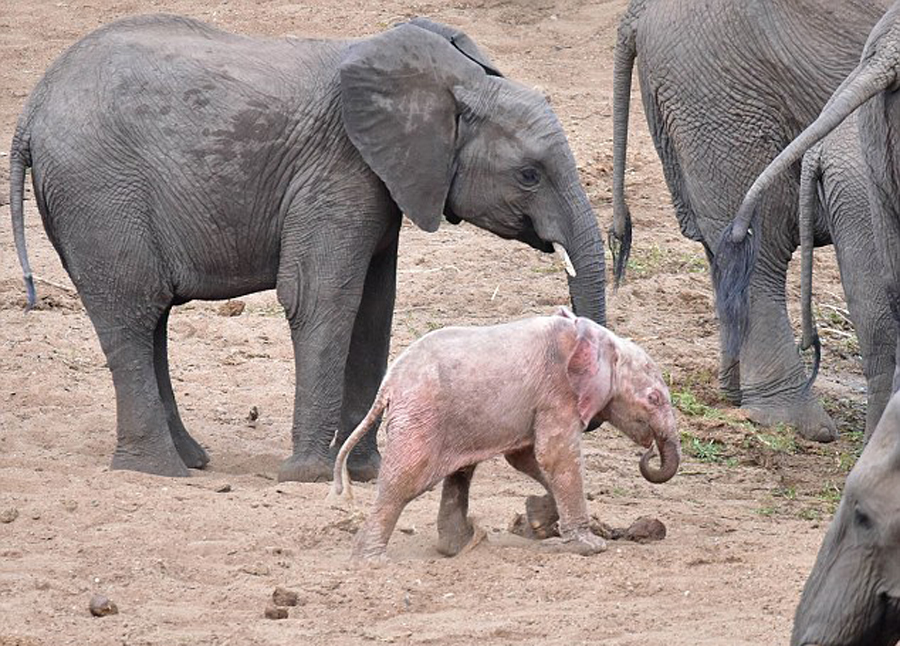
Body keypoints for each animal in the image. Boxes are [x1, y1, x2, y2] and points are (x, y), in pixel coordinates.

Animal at [8, 15, 604, 484]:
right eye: (528, 175)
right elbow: (323, 300)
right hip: (100, 193)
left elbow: (373, 310)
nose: (590, 421)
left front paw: (368, 473)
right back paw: (159, 471)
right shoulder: (338, 172)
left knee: (149, 317)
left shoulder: (378, 182)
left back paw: (191, 460)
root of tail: (31, 110)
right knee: (132, 313)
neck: (453, 84)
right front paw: (309, 475)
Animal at [332, 308, 684, 560]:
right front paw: (591, 546)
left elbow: (527, 458)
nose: (649, 451)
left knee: (460, 472)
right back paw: (371, 560)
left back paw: (462, 545)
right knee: (404, 481)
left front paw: (537, 520)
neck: (595, 338)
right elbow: (555, 456)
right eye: (654, 398)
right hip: (421, 418)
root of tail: (388, 384)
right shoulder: (558, 392)